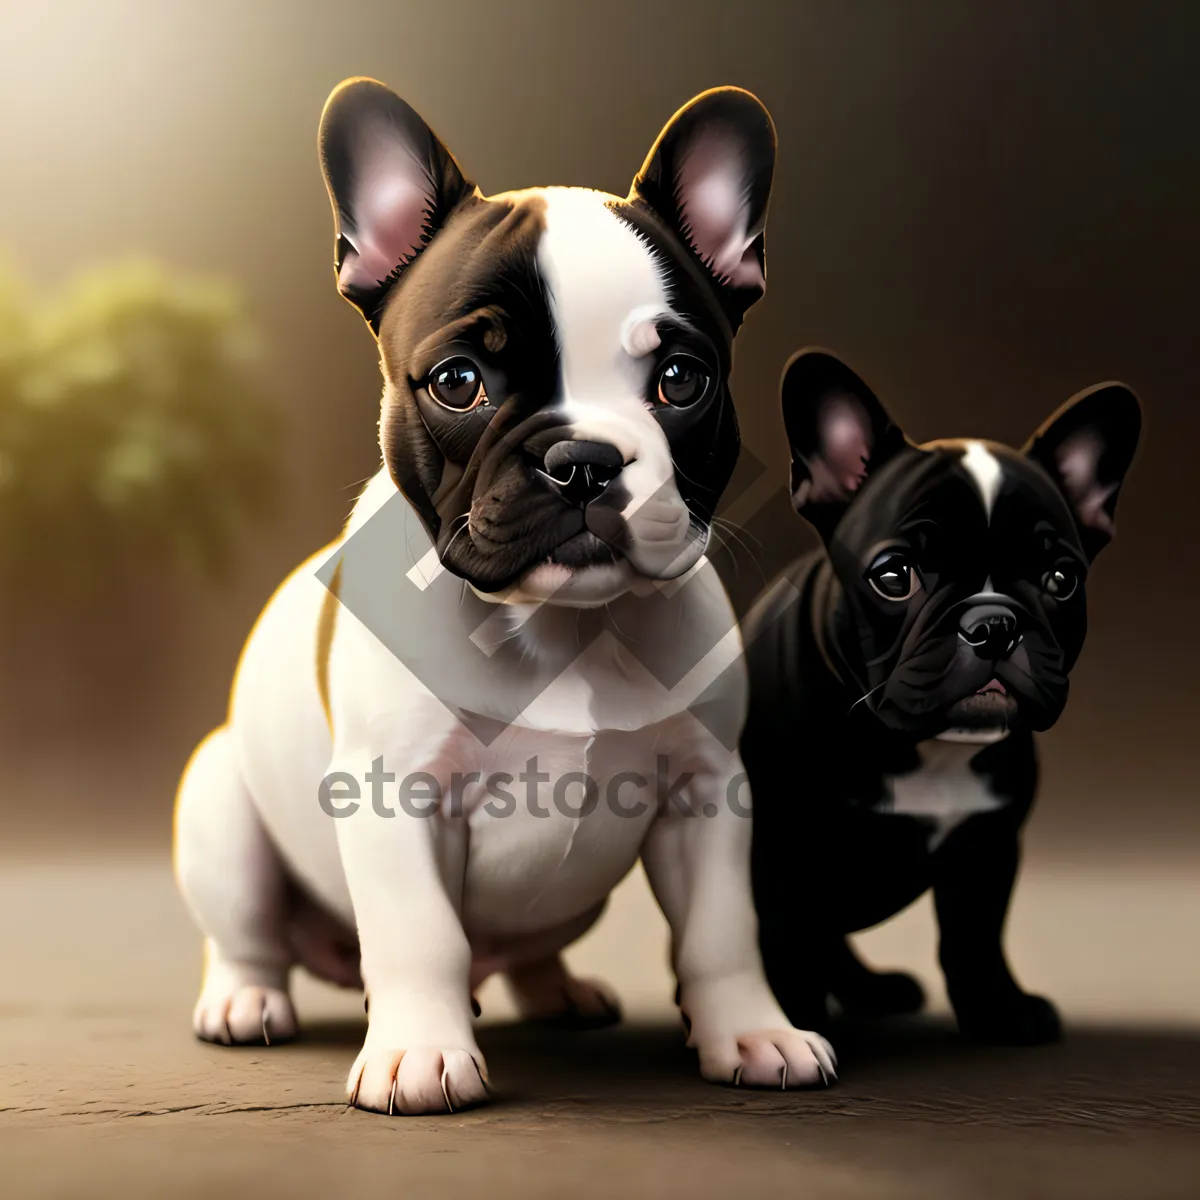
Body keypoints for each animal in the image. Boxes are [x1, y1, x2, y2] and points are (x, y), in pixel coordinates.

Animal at [174, 82, 835, 1113]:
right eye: (459, 382)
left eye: (681, 380)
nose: (582, 460)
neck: (561, 627)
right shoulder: (393, 795)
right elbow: (420, 935)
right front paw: (418, 1052)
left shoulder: (707, 790)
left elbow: (722, 934)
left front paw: (753, 1033)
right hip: (221, 808)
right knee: (246, 934)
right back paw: (245, 1002)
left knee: (527, 952)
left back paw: (559, 991)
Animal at [739, 350, 1142, 1046]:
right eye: (894, 576)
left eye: (1061, 578)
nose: (994, 623)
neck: (925, 747)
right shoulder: (784, 847)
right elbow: (788, 939)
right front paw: (789, 1026)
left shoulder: (988, 844)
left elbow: (976, 938)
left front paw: (1000, 1011)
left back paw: (869, 988)